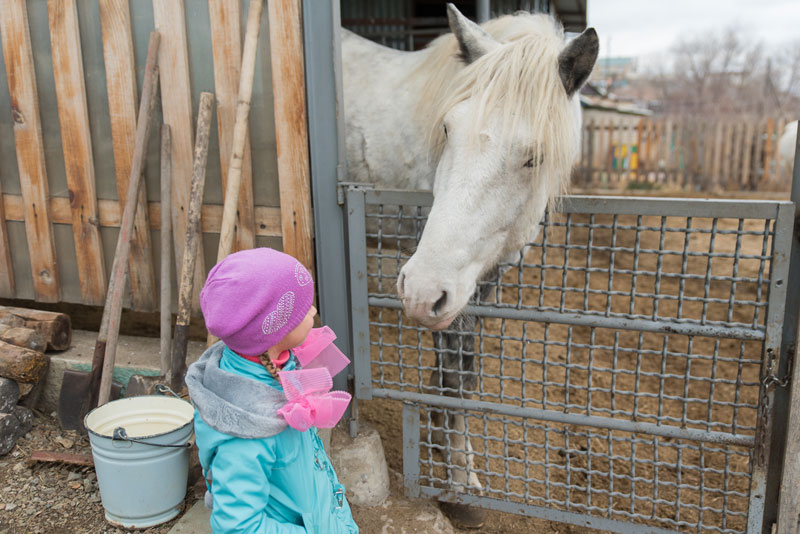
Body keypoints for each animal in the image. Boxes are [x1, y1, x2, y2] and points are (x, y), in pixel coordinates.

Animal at [340, 4, 596, 528]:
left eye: (535, 157)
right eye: (447, 129)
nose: (419, 289)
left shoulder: (478, 280)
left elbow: (460, 372)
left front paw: (440, 439)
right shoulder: (451, 288)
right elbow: (457, 378)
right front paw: (460, 487)